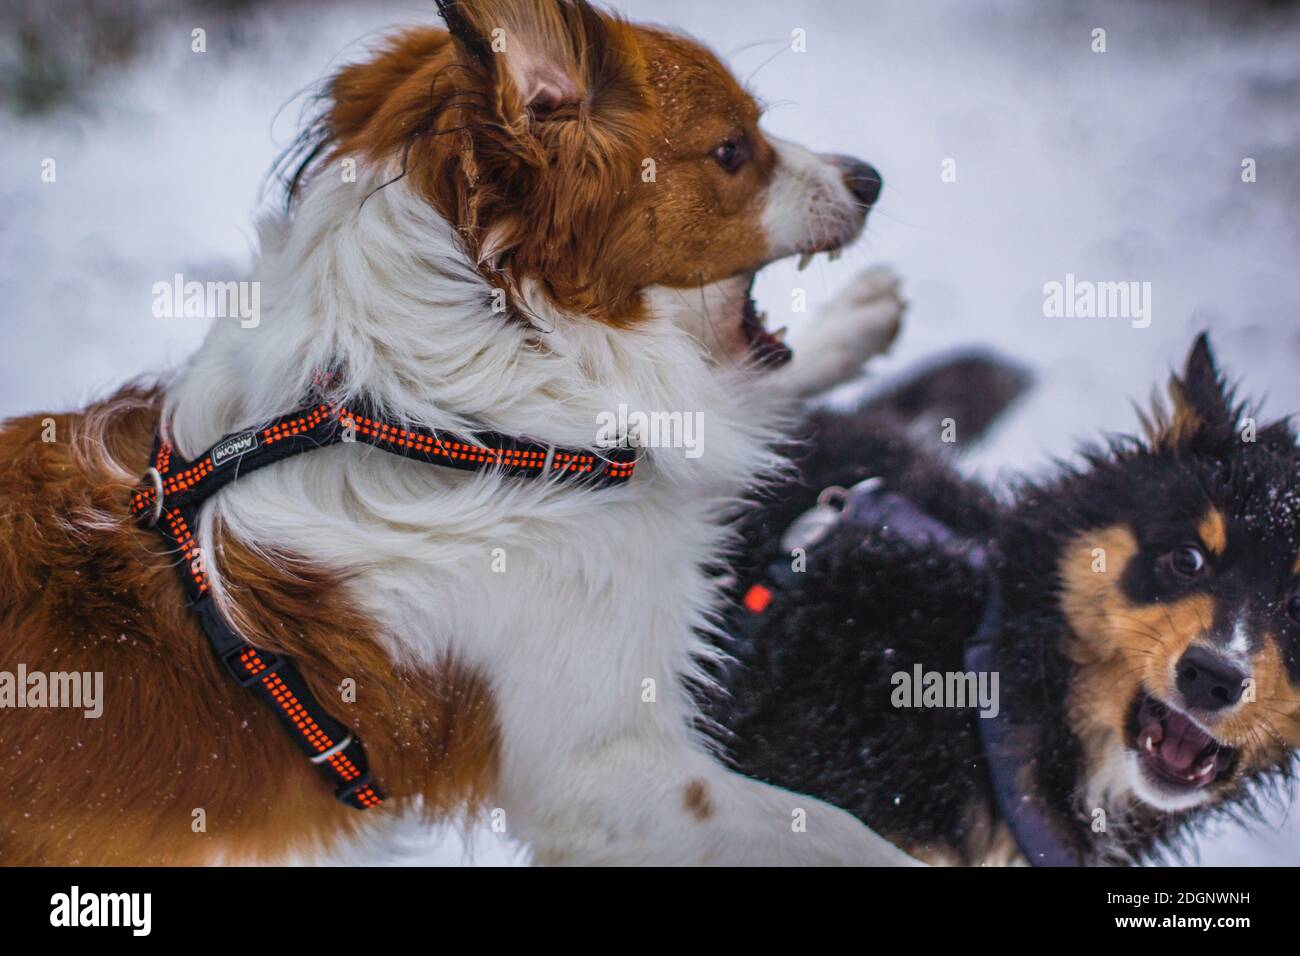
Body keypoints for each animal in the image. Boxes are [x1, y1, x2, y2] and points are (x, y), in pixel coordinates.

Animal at [0, 0, 909, 868]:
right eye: (731, 149)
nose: (870, 179)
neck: (458, 425)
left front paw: (851, 325)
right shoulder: (605, 777)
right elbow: (840, 832)